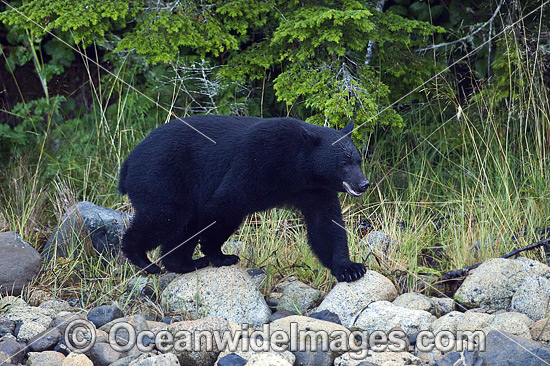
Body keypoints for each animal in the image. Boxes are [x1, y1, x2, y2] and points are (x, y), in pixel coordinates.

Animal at [119, 116, 370, 282]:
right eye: (344, 163)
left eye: (358, 160)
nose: (363, 184)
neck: (298, 167)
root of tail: (129, 161)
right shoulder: (257, 159)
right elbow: (225, 204)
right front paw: (221, 256)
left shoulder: (315, 190)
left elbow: (326, 223)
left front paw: (350, 268)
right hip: (162, 176)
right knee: (166, 217)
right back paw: (143, 259)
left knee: (183, 225)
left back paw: (185, 263)